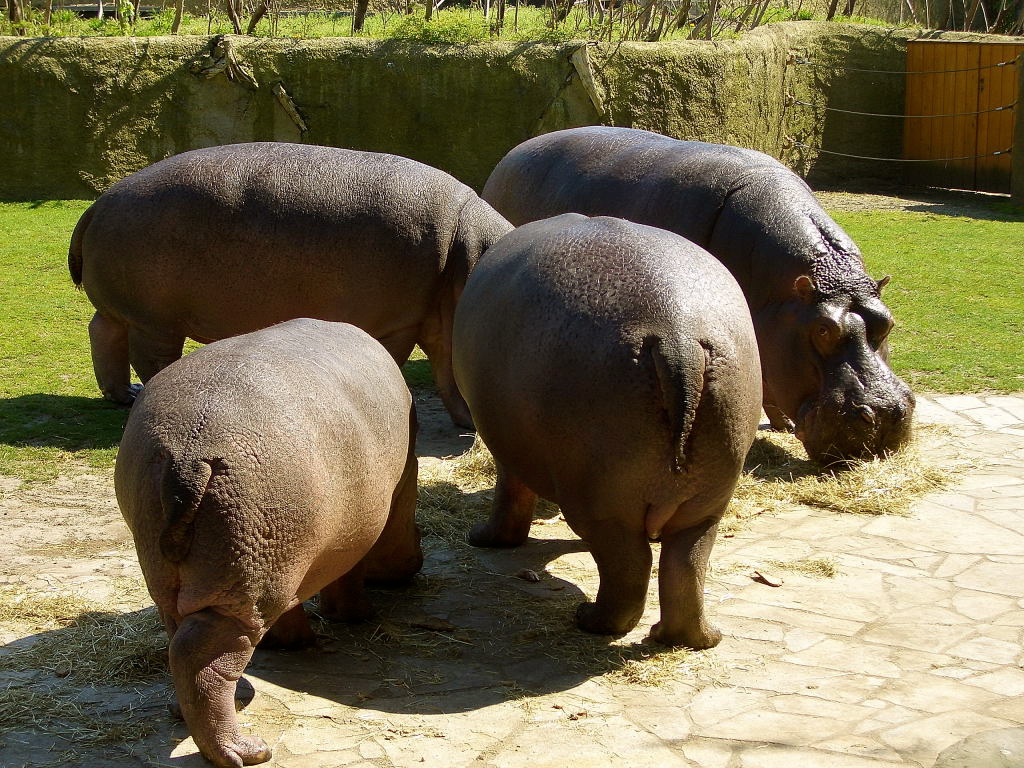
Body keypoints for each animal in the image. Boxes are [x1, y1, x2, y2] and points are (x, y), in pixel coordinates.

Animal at [69, 141, 512, 430]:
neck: (471, 247)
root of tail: (97, 205)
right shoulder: (400, 321)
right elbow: (405, 361)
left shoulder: (439, 323)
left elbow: (449, 372)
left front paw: (468, 422)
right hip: (155, 320)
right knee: (150, 356)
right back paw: (147, 391)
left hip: (123, 310)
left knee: (102, 333)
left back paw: (123, 395)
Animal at [116, 317, 423, 765]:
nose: (418, 560)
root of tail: (189, 456)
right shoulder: (357, 531)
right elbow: (347, 577)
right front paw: (355, 616)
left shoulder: (293, 559)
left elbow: (300, 601)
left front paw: (294, 641)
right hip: (245, 584)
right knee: (201, 658)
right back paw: (246, 751)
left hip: (188, 574)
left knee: (177, 639)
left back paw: (191, 711)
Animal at [456, 217, 761, 651]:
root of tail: (679, 337)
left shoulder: (508, 450)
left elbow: (510, 495)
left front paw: (482, 538)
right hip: (707, 498)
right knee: (685, 565)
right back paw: (692, 637)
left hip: (601, 501)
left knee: (630, 566)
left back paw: (590, 620)